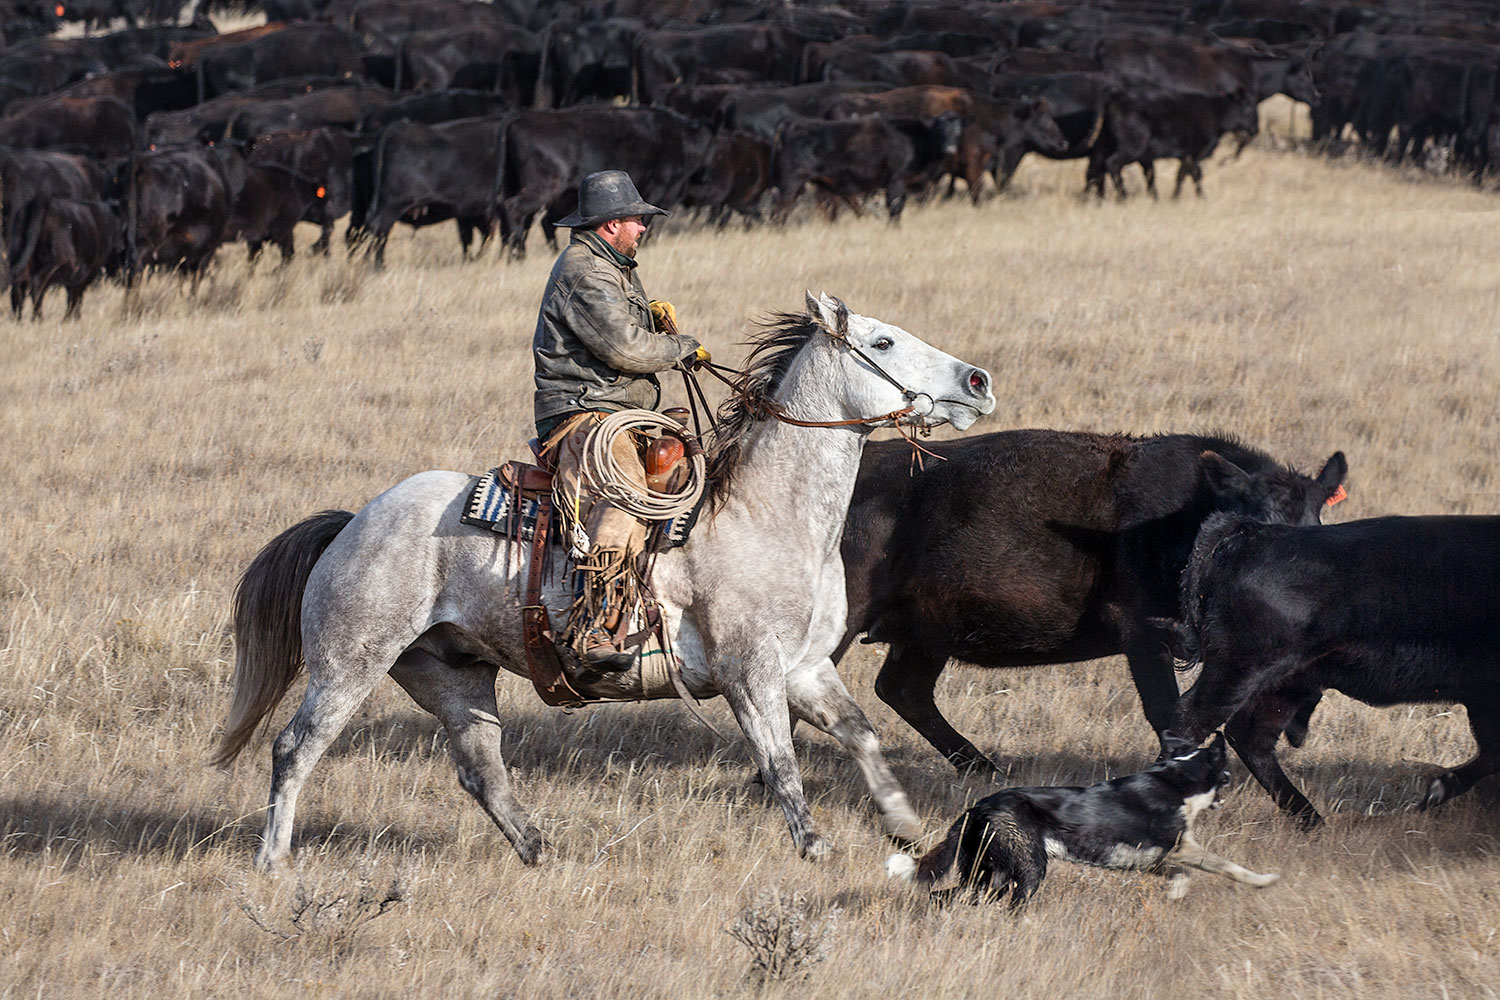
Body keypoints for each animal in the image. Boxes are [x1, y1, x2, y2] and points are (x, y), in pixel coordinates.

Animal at [1170, 514, 1500, 827]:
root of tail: (1255, 533)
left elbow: (1490, 753)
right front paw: (1438, 791)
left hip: (1287, 682)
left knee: (1250, 735)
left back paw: (1312, 821)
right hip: (1243, 671)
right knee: (1191, 718)